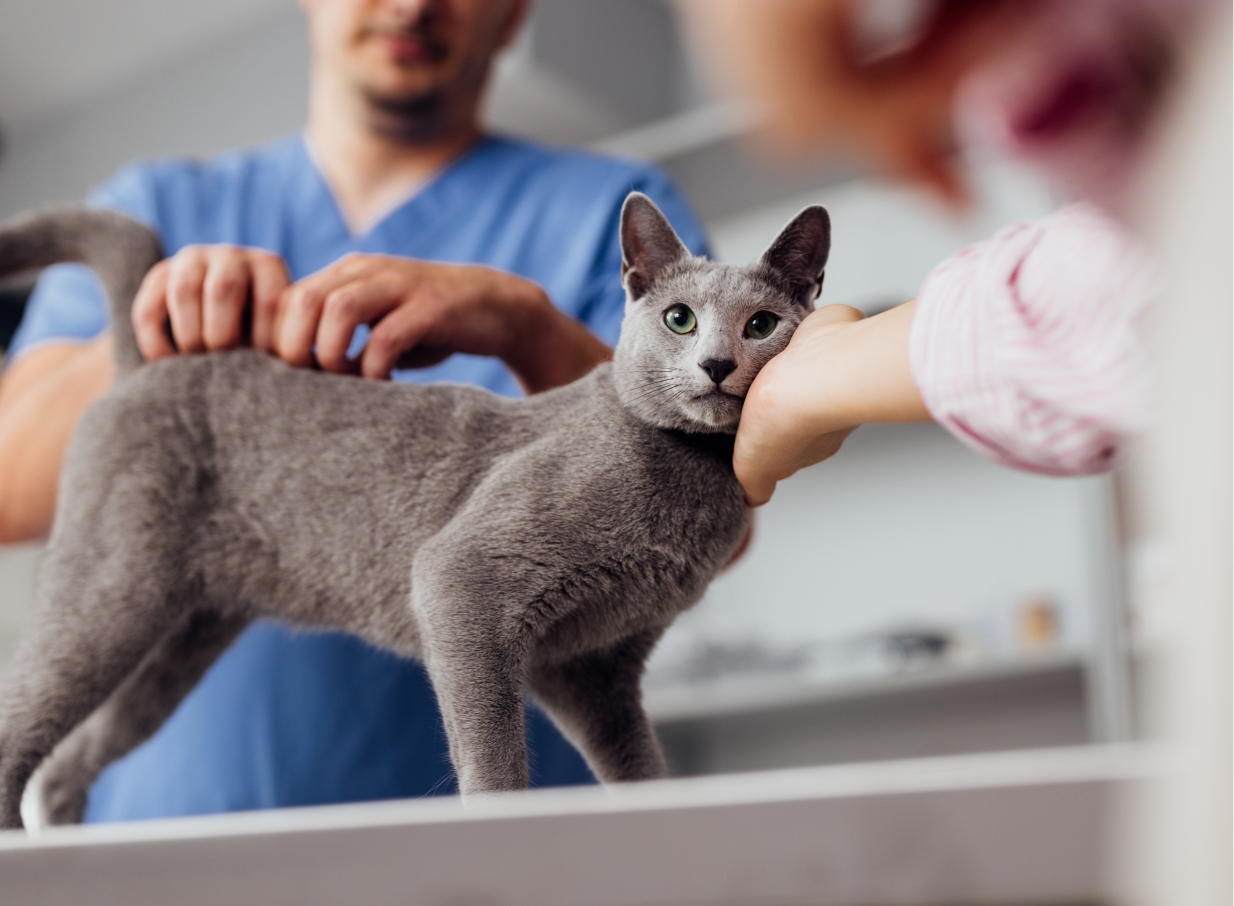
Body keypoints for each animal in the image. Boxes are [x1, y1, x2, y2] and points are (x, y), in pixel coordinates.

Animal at [0, 193, 834, 829]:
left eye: (761, 325)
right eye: (680, 319)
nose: (718, 364)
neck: (691, 478)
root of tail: (146, 363)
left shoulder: (593, 667)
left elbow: (637, 763)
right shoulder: (462, 580)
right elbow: (492, 749)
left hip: (183, 634)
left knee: (76, 754)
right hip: (116, 586)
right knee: (22, 716)